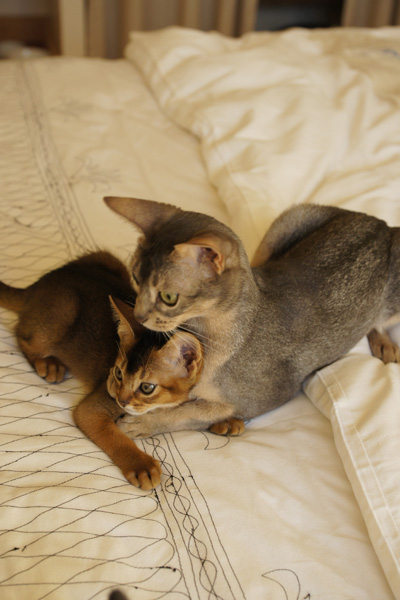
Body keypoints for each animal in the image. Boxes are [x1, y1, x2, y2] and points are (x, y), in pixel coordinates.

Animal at [0, 250, 203, 489]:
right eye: (118, 373)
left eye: (147, 387)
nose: (121, 400)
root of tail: (37, 285)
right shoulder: (91, 410)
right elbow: (115, 436)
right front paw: (141, 466)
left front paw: (225, 424)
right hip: (63, 314)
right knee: (21, 335)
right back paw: (49, 364)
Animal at [103, 196, 400, 439]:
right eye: (135, 277)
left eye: (168, 297)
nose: (139, 315)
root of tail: (381, 225)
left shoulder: (270, 396)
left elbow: (189, 413)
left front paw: (143, 423)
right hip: (287, 221)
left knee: (380, 322)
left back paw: (384, 344)